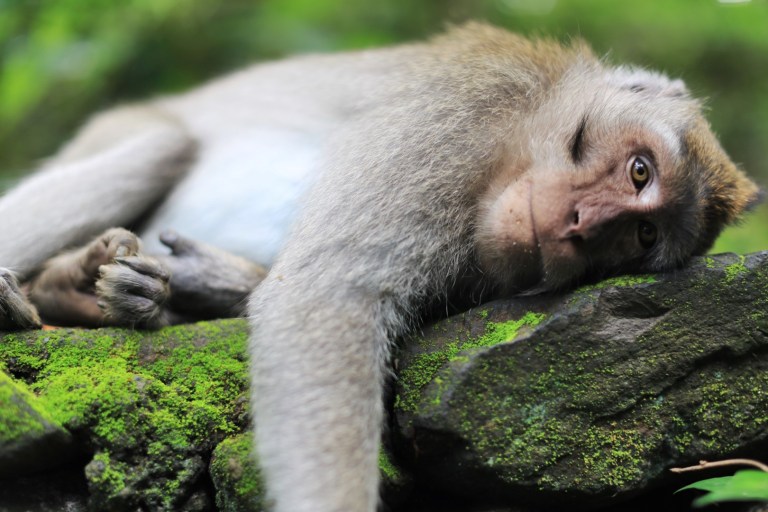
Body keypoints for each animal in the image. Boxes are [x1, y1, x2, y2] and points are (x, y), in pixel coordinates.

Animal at [0, 23, 759, 512]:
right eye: (640, 172)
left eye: (638, 236)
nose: (580, 225)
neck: (522, 132)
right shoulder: (453, 120)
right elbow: (326, 292)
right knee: (164, 145)